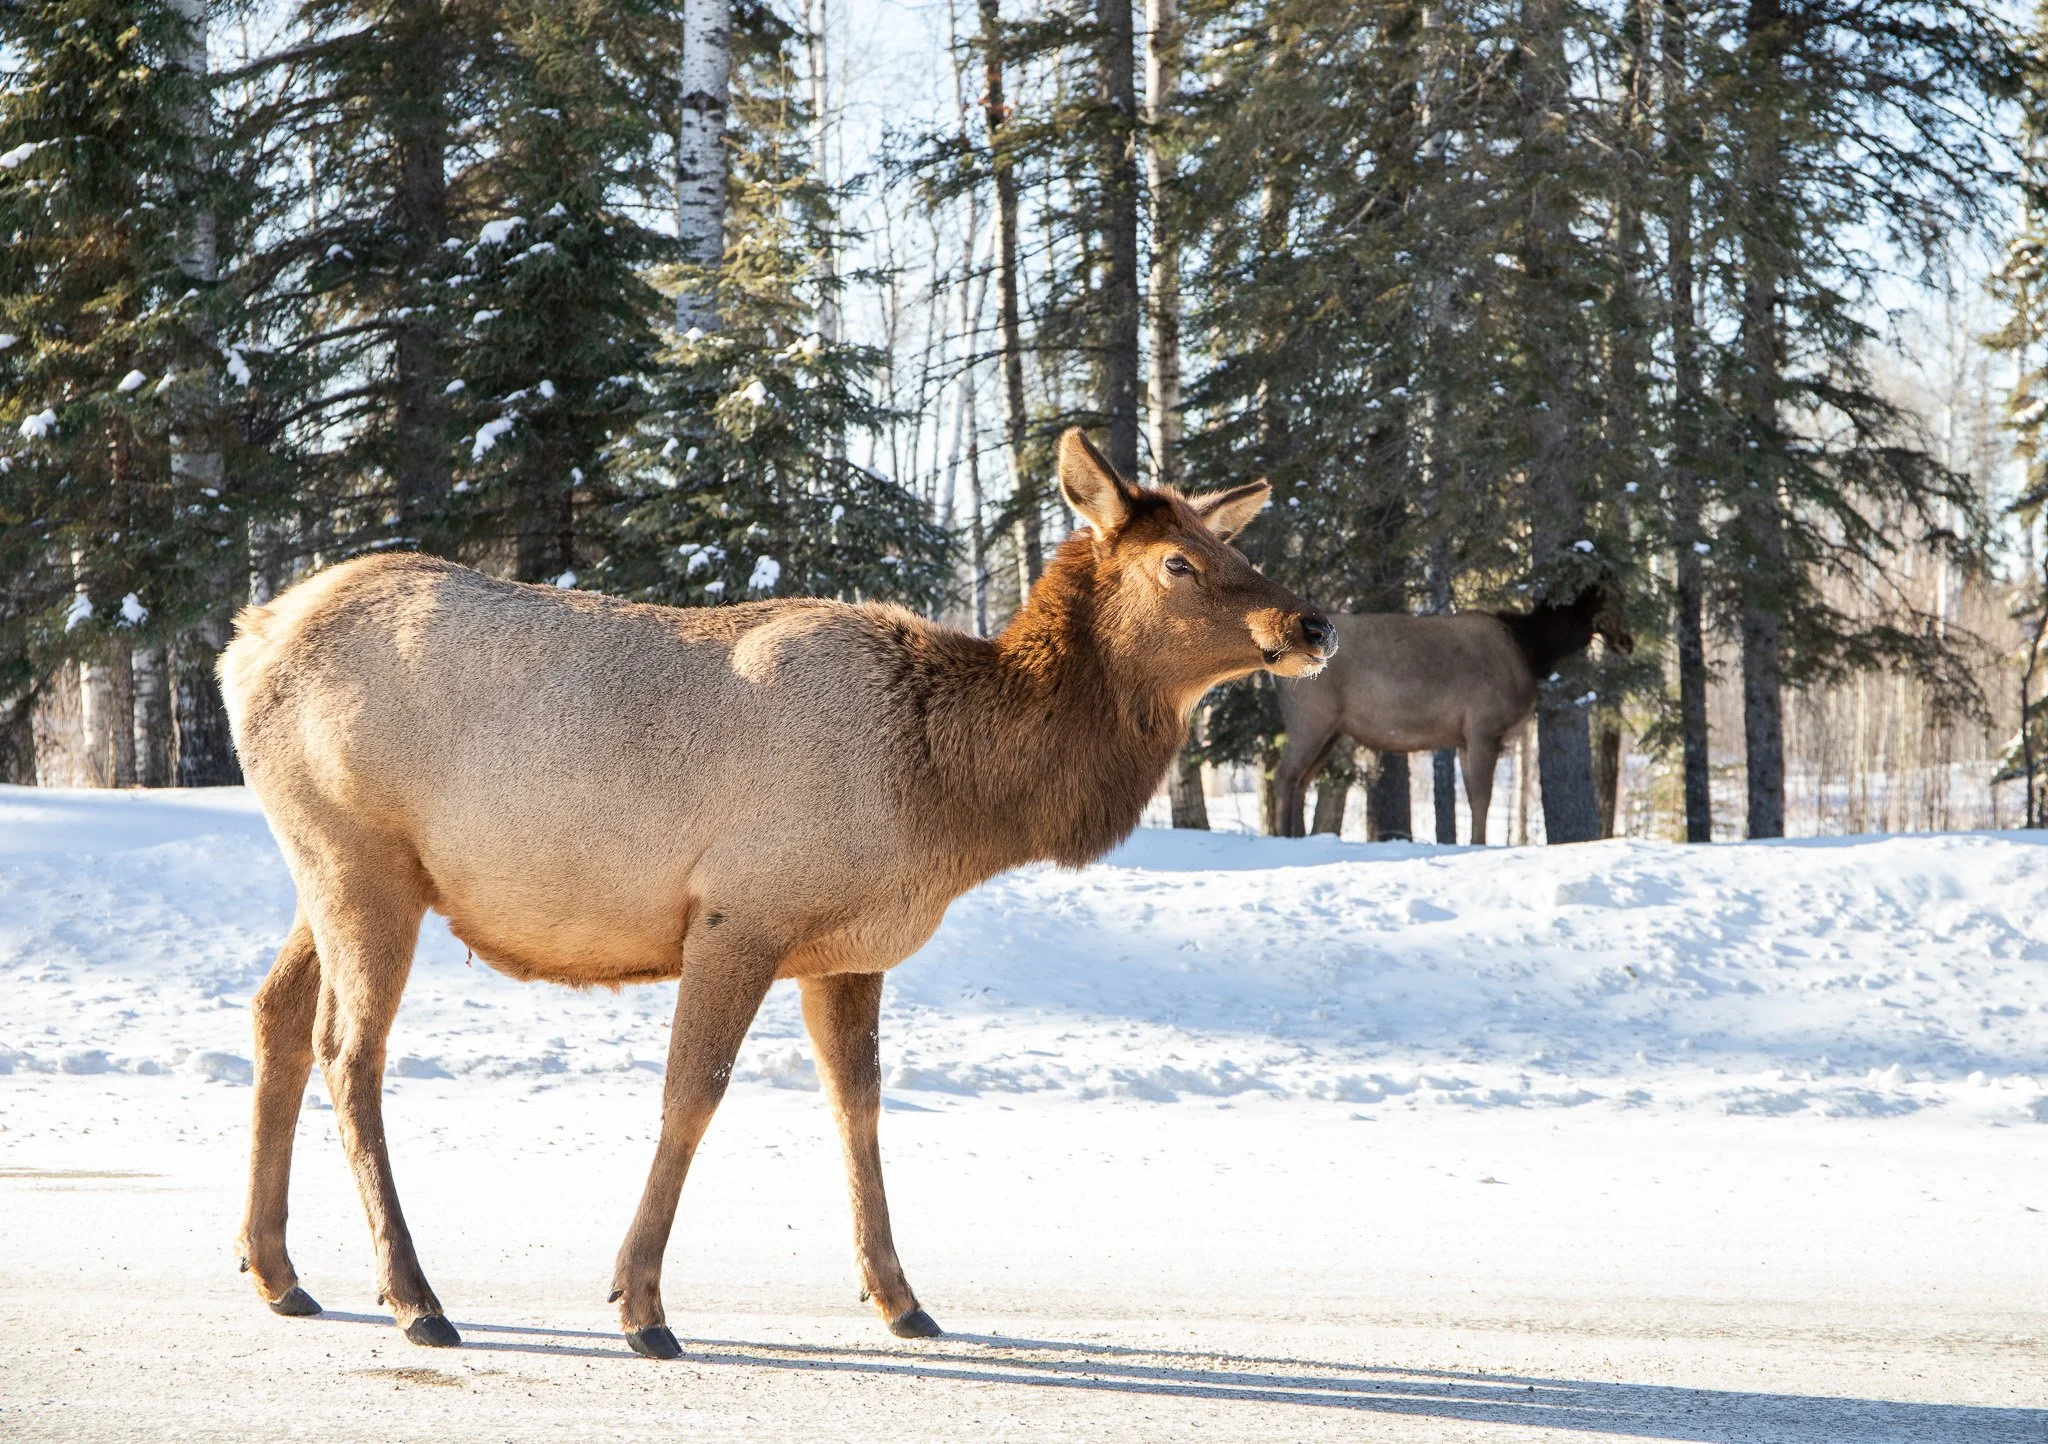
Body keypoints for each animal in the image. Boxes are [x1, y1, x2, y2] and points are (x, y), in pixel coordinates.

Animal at [219, 429, 1336, 1360]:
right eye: (1177, 561)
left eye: (1229, 542)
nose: (1312, 620)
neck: (958, 795)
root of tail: (244, 638)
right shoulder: (738, 913)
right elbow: (693, 1094)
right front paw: (641, 1306)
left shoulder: (849, 951)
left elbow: (859, 1105)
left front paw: (899, 1298)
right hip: (358, 858)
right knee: (348, 1049)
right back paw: (414, 1297)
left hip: (341, 867)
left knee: (274, 1013)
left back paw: (277, 1272)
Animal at [1270, 581, 1631, 843]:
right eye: (1613, 601)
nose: (1628, 641)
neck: (1531, 653)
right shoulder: (1485, 726)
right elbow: (1482, 797)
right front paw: (1478, 843)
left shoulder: (1463, 738)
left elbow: (1471, 797)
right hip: (1311, 719)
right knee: (1285, 775)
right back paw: (1283, 836)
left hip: (1331, 730)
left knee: (1301, 780)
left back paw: (1298, 836)